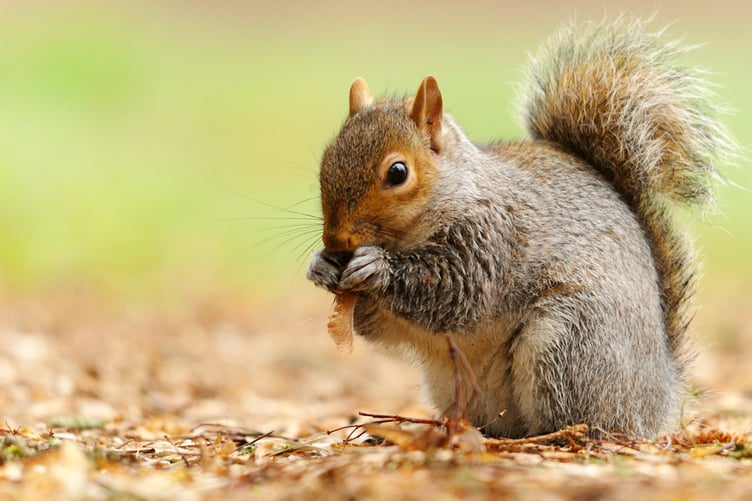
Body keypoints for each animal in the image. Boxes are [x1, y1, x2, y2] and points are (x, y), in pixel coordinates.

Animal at [306, 17, 735, 438]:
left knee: (585, 418)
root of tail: (660, 399)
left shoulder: (493, 239)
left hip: (572, 341)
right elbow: (377, 326)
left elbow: (455, 292)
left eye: (398, 172)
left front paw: (377, 268)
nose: (336, 240)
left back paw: (556, 435)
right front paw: (321, 266)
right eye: (326, 161)